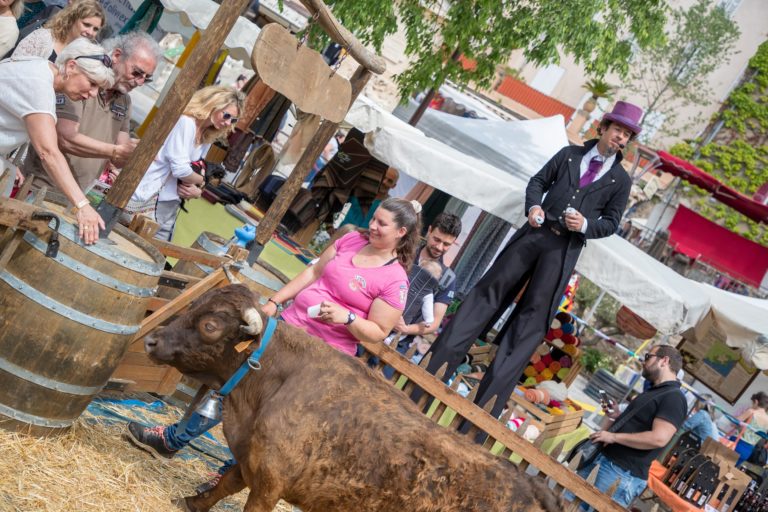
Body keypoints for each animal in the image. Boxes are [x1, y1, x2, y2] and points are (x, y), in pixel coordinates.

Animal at [146, 284, 564, 512]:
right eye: (198, 305)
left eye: (210, 325)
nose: (151, 340)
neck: (272, 380)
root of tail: (535, 488)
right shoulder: (252, 460)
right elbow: (226, 484)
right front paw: (194, 501)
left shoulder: (269, 483)